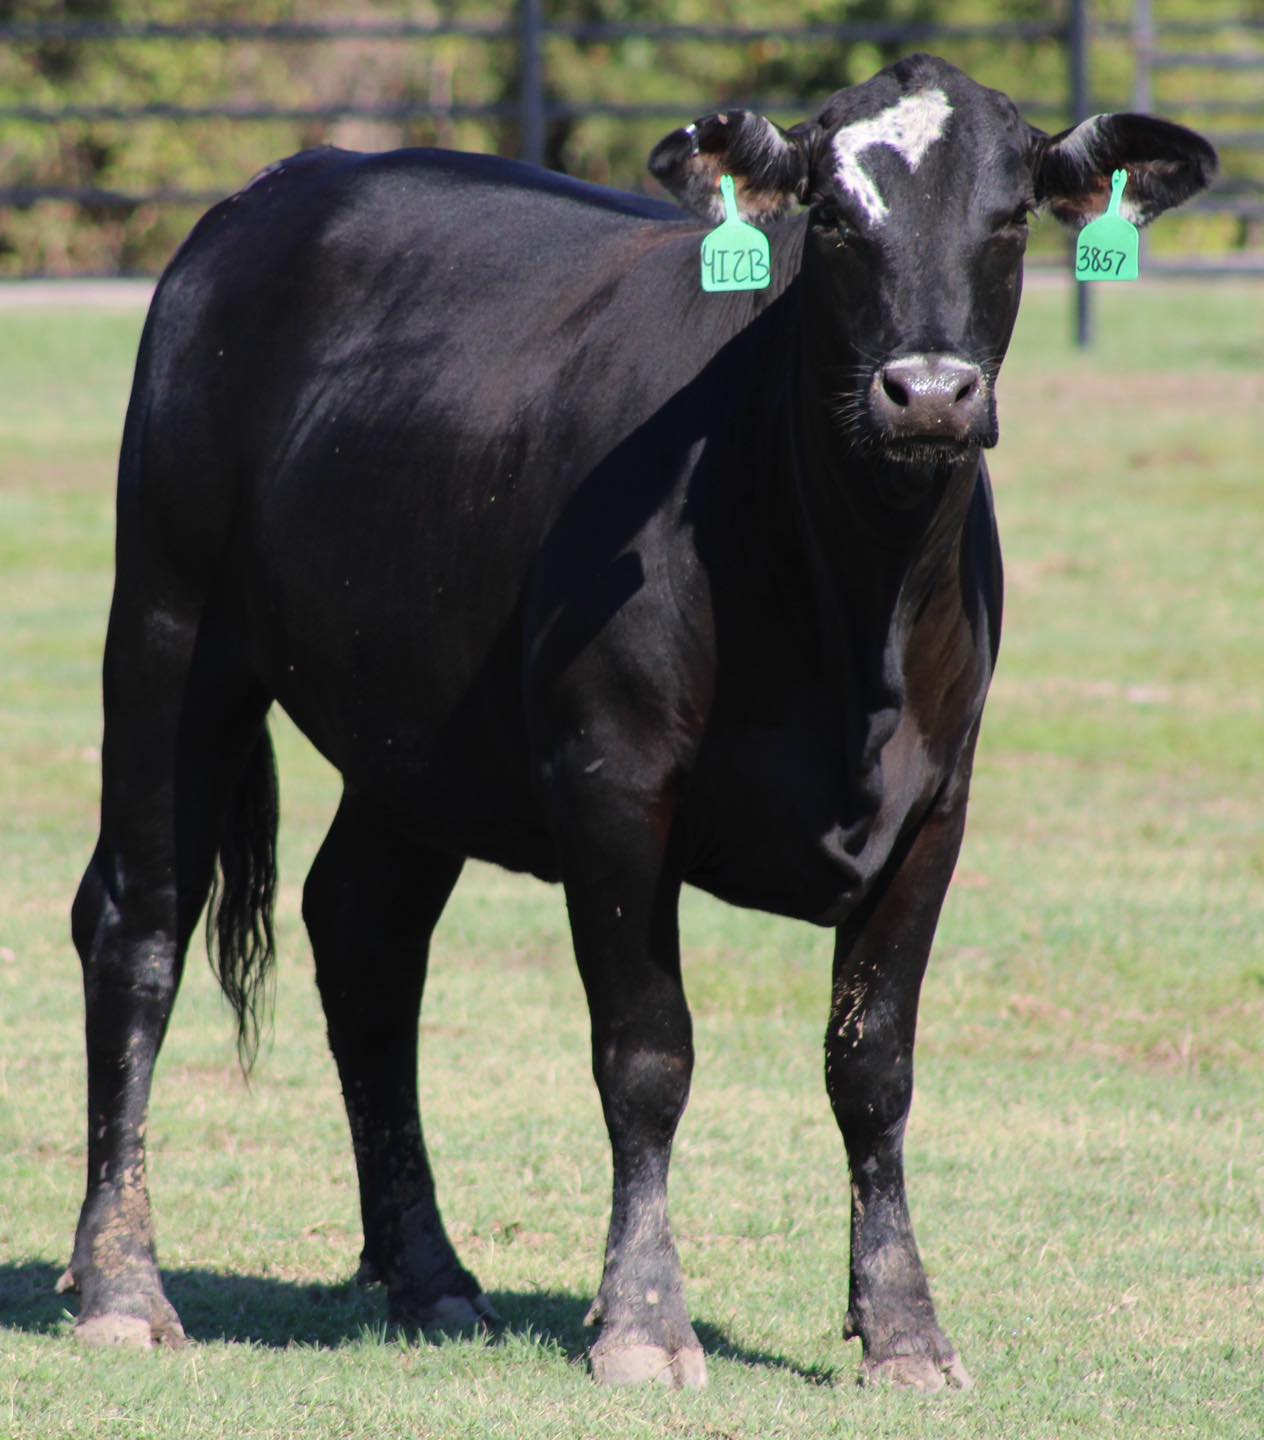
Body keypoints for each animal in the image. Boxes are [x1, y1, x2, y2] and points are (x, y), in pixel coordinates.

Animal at [61, 56, 1215, 1393]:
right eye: (833, 218)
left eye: (1011, 219)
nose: (927, 392)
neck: (852, 602)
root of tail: (285, 185)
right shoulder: (610, 778)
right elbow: (647, 1055)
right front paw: (645, 1318)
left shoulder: (938, 806)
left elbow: (873, 1068)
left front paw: (906, 1327)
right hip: (169, 628)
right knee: (139, 925)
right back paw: (122, 1284)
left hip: (418, 743)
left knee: (363, 936)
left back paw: (430, 1276)